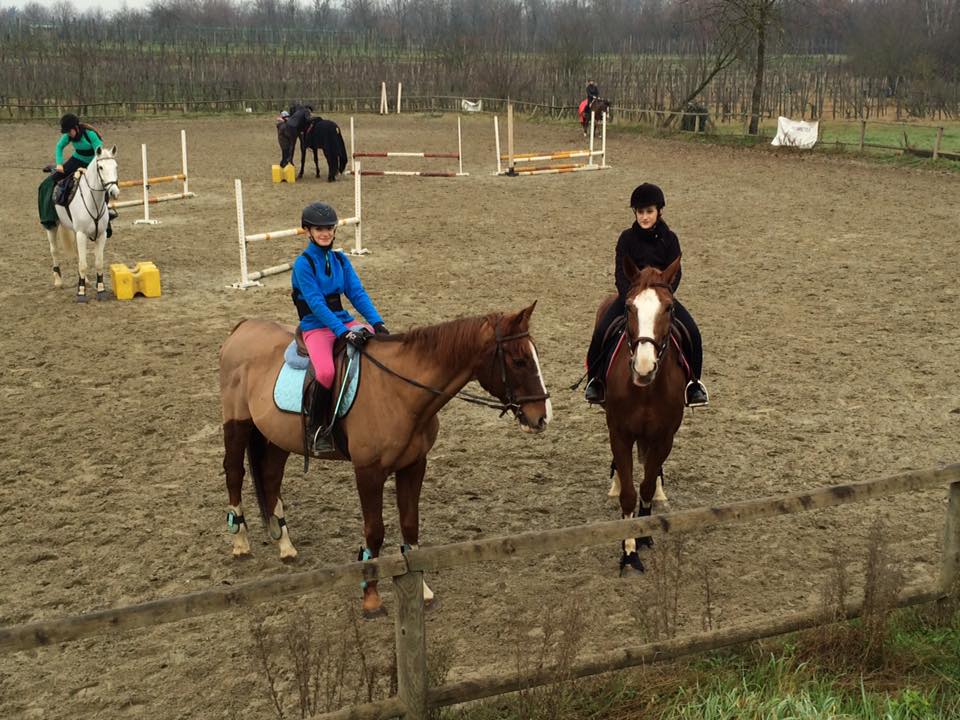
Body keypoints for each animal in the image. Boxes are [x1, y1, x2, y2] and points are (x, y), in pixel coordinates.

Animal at [44, 145, 120, 302]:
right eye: (101, 167)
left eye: (116, 166)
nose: (114, 192)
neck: (93, 202)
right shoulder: (81, 234)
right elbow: (83, 265)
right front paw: (81, 293)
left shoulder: (101, 235)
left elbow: (98, 263)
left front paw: (101, 290)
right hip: (52, 226)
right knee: (54, 251)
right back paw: (58, 281)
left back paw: (86, 281)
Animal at [218, 304, 552, 616]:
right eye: (519, 361)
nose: (542, 418)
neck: (400, 392)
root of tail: (243, 326)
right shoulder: (369, 472)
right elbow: (374, 532)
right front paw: (371, 598)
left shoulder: (414, 465)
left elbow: (410, 525)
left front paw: (421, 590)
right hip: (237, 424)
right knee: (234, 474)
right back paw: (240, 543)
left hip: (277, 436)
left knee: (271, 477)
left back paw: (285, 546)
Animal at [594, 256, 685, 575]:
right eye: (629, 307)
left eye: (669, 307)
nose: (644, 367)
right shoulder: (619, 433)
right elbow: (629, 494)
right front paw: (629, 551)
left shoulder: (664, 436)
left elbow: (645, 485)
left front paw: (645, 534)